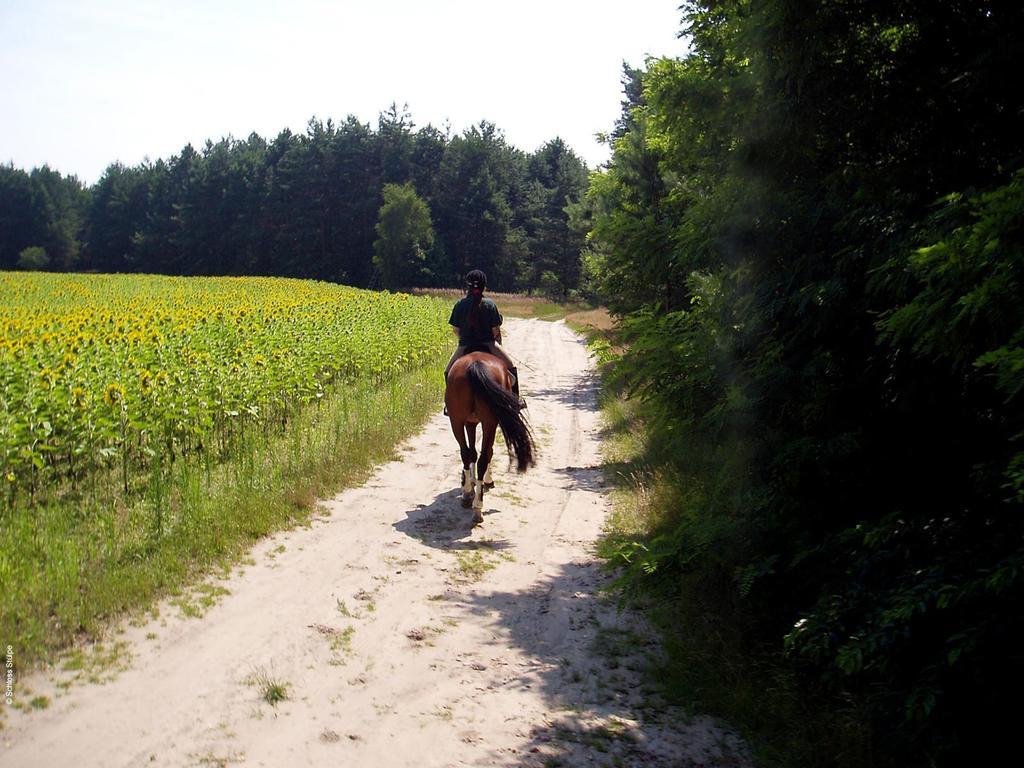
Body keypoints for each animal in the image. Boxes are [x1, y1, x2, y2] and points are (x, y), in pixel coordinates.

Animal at [444, 350, 536, 524]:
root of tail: (475, 365)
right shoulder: (480, 423)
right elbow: (485, 452)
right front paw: (484, 480)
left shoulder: (470, 422)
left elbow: (473, 452)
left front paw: (471, 482)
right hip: (489, 422)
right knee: (482, 457)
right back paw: (476, 506)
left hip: (457, 420)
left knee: (466, 453)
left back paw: (469, 498)